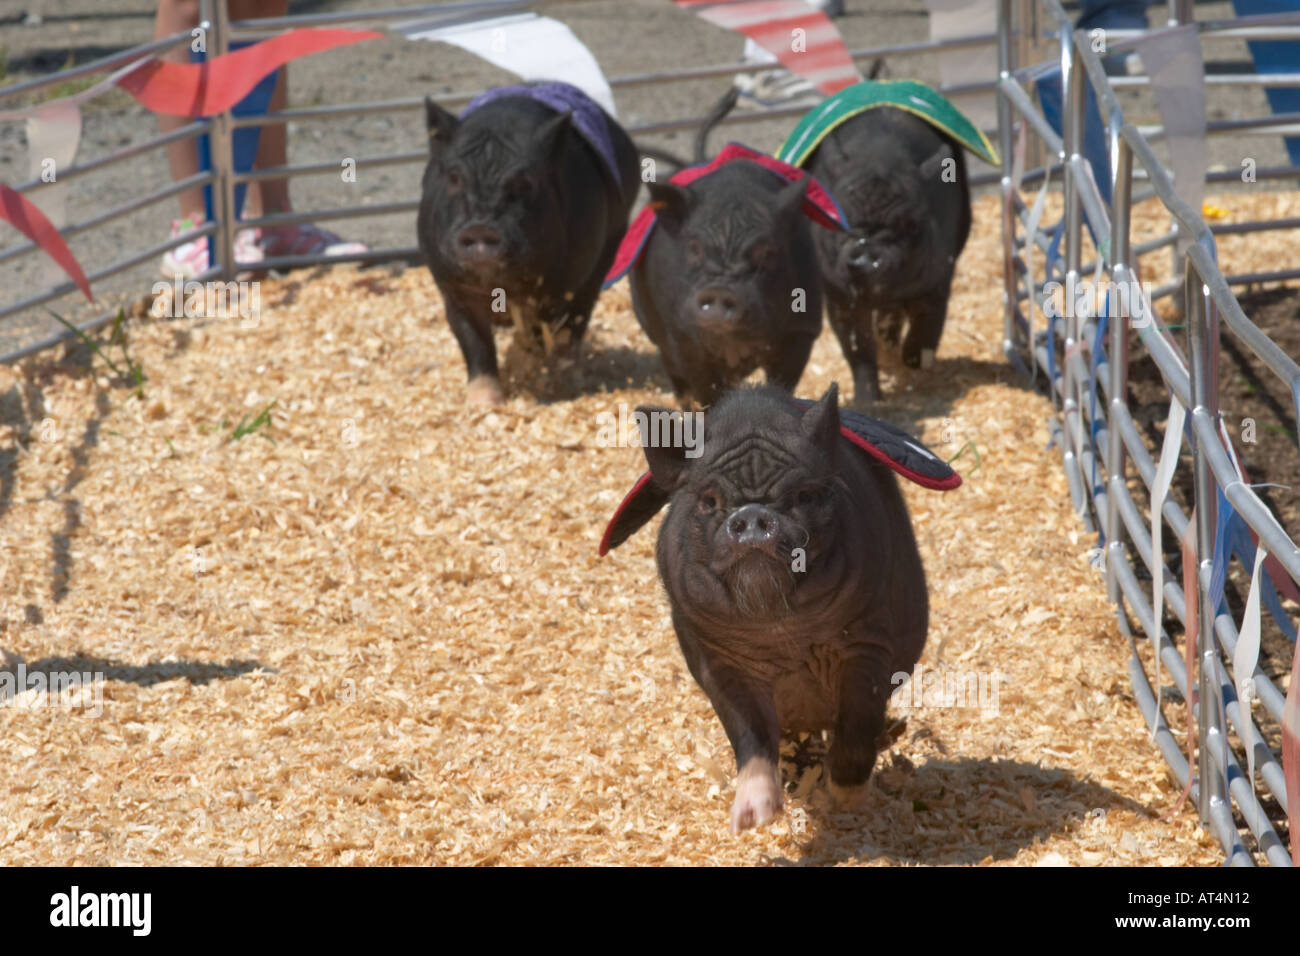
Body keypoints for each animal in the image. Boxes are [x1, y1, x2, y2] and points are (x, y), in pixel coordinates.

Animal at [417, 83, 639, 404]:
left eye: (525, 183)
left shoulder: (559, 288)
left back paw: (570, 379)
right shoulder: (452, 287)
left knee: (577, 322)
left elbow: (541, 334)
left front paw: (531, 379)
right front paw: (484, 402)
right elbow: (474, 342)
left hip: (607, 250)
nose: (480, 227)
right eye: (455, 177)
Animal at [604, 383, 936, 833]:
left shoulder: (868, 640)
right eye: (709, 500)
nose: (752, 515)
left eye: (804, 495)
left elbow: (858, 716)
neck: (779, 630)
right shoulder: (714, 658)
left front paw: (845, 799)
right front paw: (751, 819)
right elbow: (749, 731)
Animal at [625, 153, 833, 406]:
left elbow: (782, 382)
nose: (720, 291)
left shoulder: (802, 330)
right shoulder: (681, 335)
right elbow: (706, 390)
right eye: (694, 248)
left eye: (766, 251)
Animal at [803, 108, 971, 405]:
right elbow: (856, 345)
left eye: (910, 225)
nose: (865, 256)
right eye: (840, 218)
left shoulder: (941, 273)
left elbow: (929, 319)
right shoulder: (836, 291)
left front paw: (911, 360)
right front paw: (867, 402)